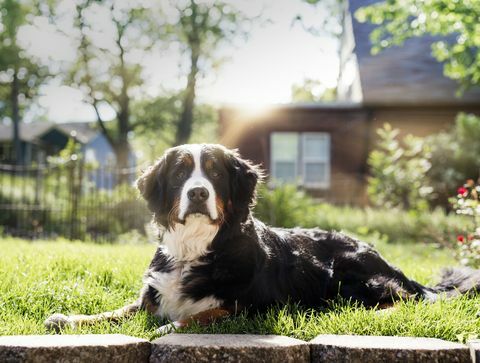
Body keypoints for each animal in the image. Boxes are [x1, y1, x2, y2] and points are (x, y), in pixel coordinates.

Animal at [46, 144, 480, 334]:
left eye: (215, 173)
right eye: (181, 173)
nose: (198, 193)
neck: (197, 248)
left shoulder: (250, 306)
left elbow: (198, 316)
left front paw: (167, 328)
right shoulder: (150, 296)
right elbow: (115, 312)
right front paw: (69, 318)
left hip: (350, 270)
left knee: (404, 301)